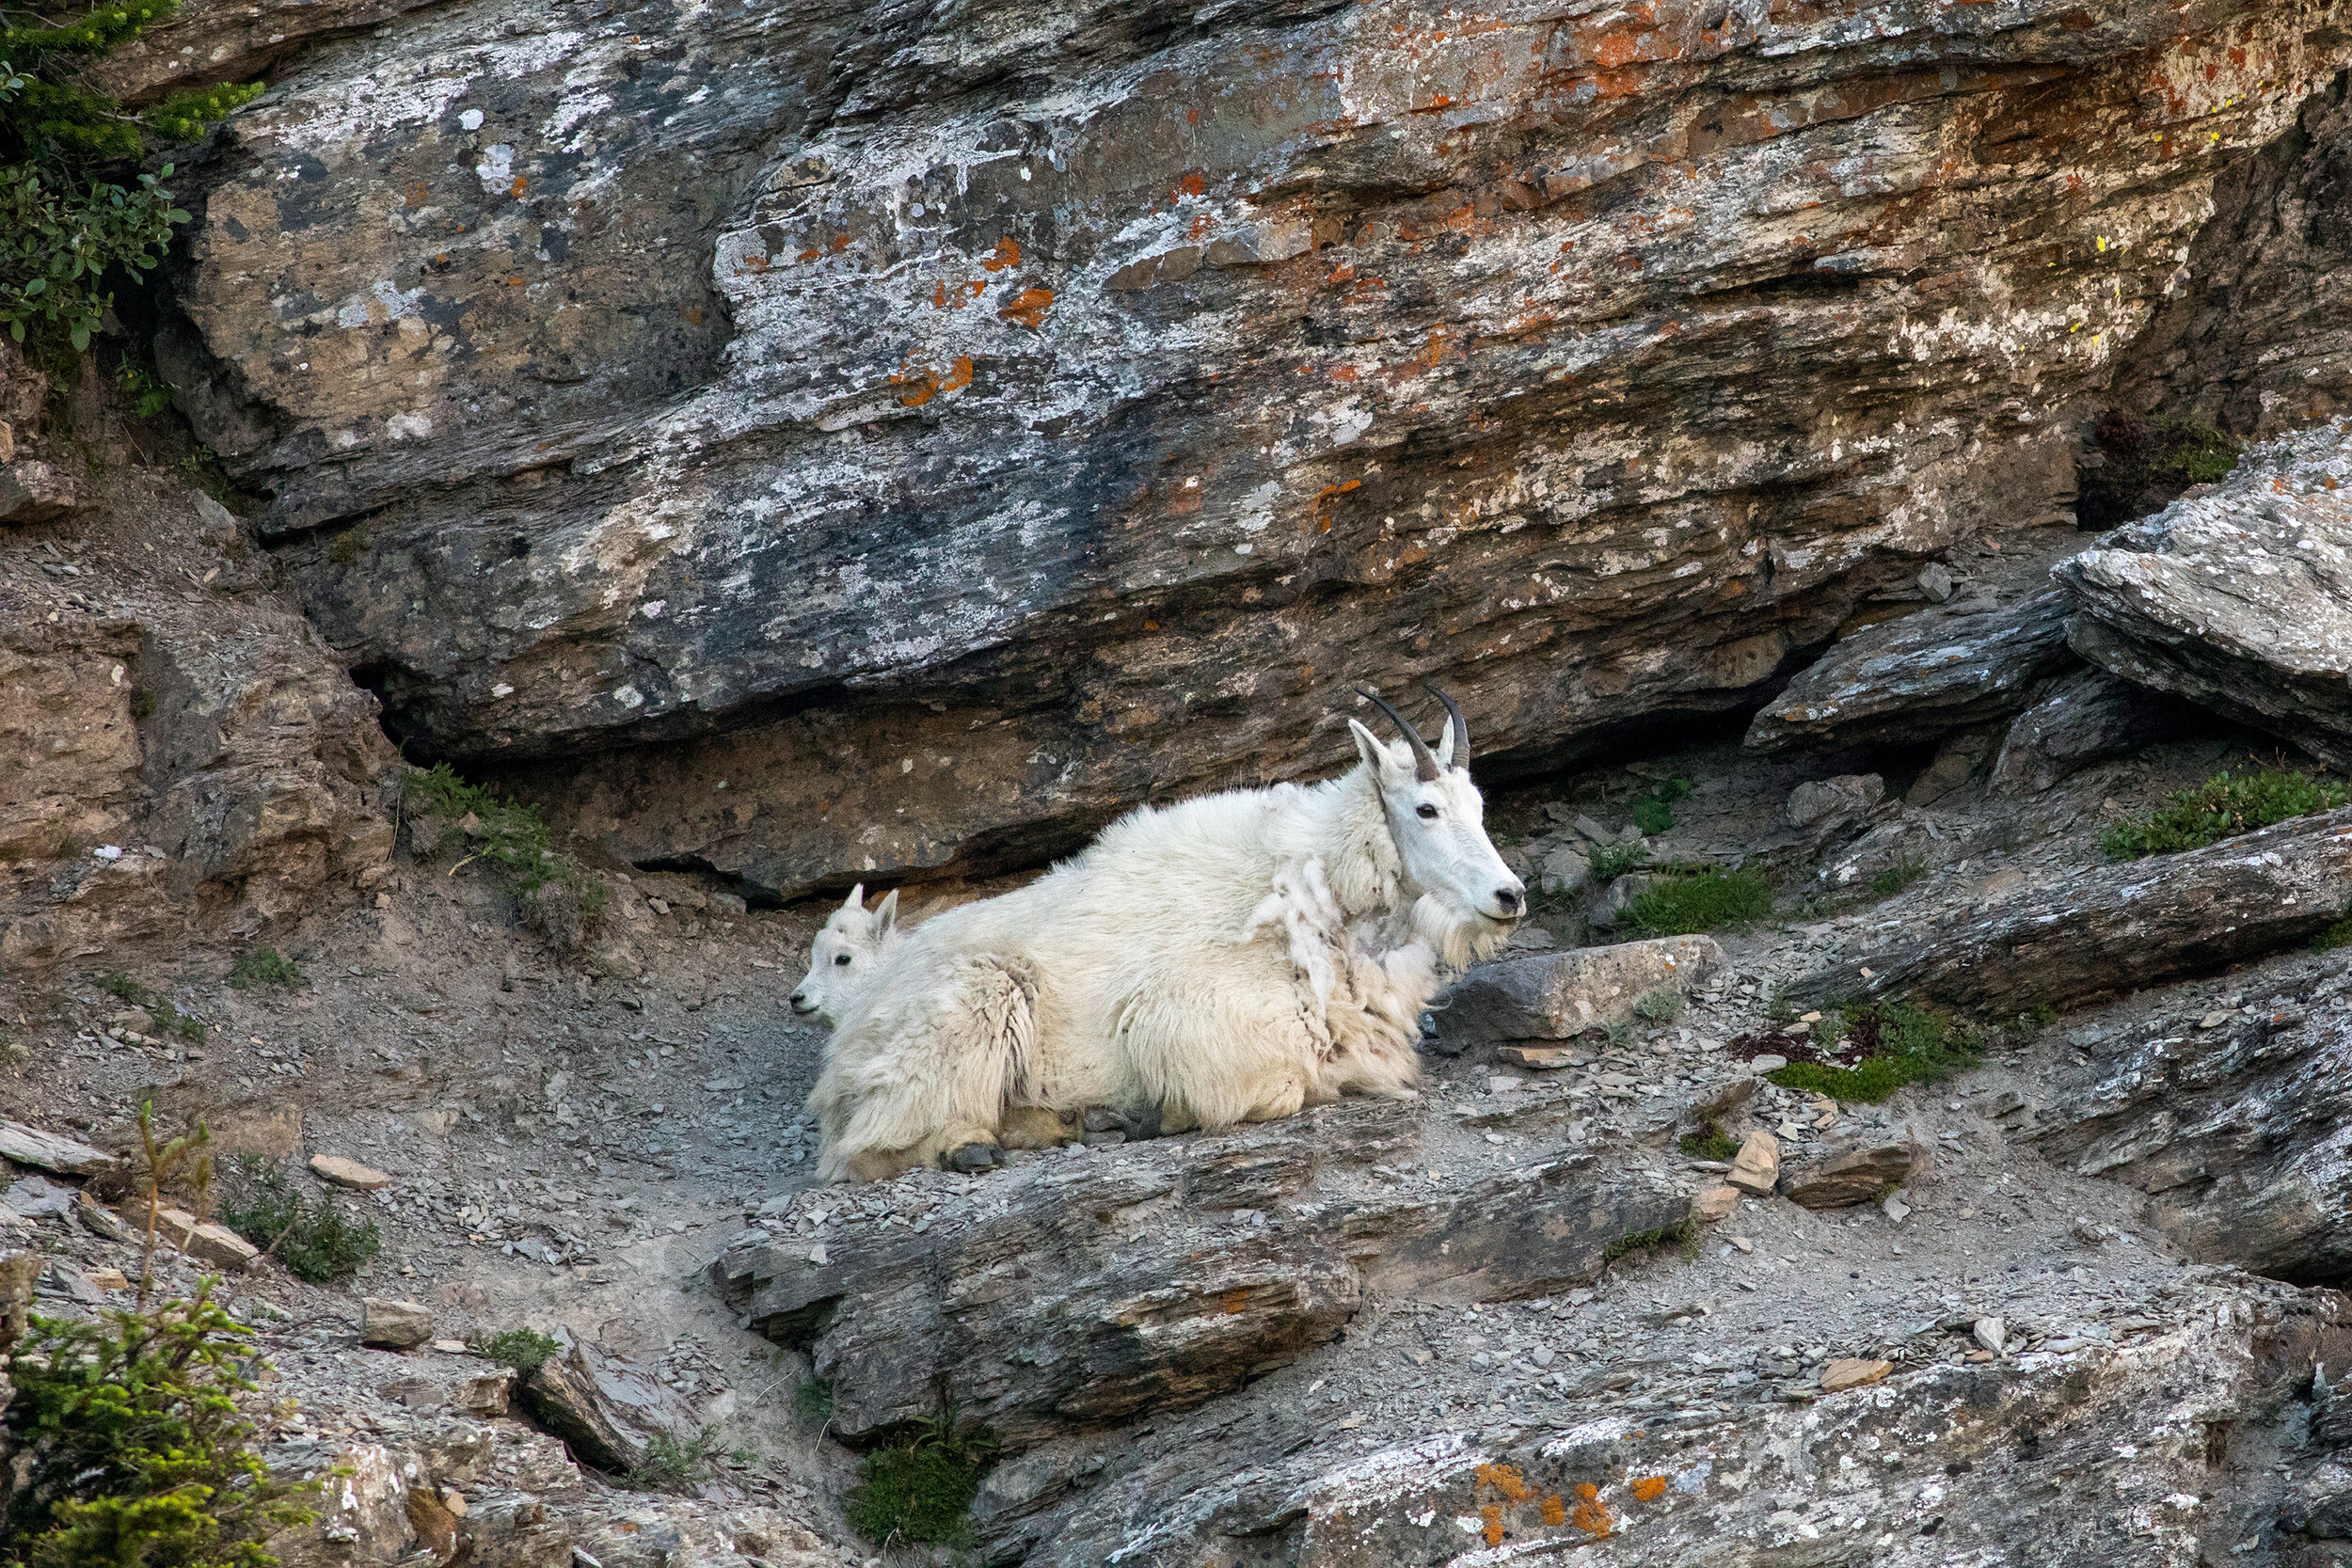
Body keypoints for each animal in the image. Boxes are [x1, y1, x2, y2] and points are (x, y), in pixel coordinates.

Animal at [809, 686, 1524, 1175]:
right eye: (1426, 809)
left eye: (1479, 807)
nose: (1510, 895)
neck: (1315, 892)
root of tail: (850, 1033)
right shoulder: (1191, 1015)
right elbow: (1282, 1088)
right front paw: (1161, 1113)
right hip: (979, 999)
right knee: (871, 1146)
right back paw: (976, 1145)